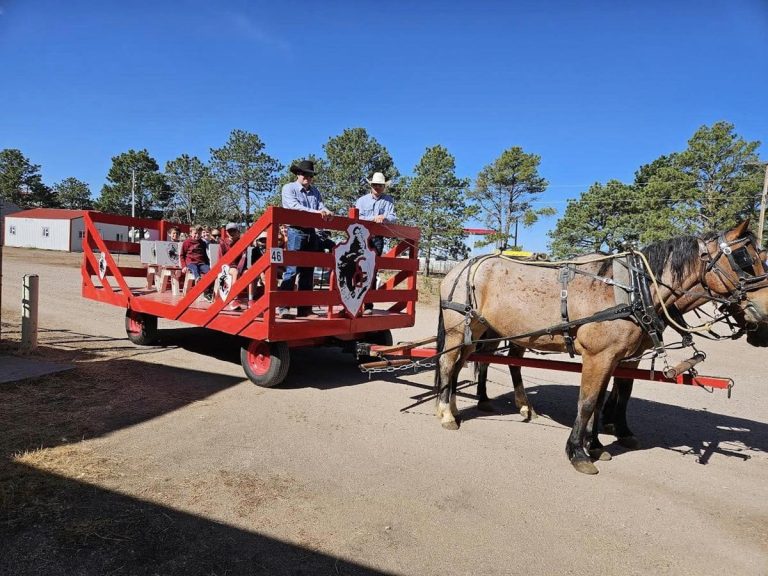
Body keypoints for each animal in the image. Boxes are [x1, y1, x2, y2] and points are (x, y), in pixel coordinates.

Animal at [435, 221, 768, 474]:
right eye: (745, 259)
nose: (764, 314)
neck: (636, 290)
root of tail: (458, 268)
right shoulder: (599, 356)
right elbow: (587, 402)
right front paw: (578, 452)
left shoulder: (617, 357)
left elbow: (606, 399)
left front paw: (597, 444)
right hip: (458, 329)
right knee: (448, 365)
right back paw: (448, 414)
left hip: (479, 332)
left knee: (468, 365)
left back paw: (465, 406)